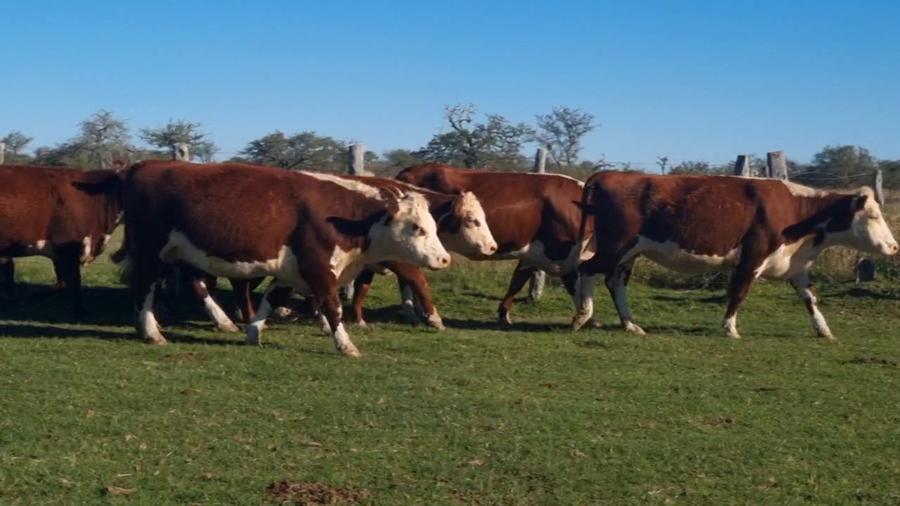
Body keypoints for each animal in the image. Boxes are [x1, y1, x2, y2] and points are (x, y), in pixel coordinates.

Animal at [0, 165, 123, 316]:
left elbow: (63, 282)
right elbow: (74, 281)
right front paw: (81, 311)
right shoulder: (67, 246)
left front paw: (35, 295)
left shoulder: (59, 252)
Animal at [110, 160, 453, 356]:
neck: (345, 217)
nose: (445, 259)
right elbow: (332, 306)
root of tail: (143, 165)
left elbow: (270, 299)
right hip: (151, 252)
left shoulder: (293, 271)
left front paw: (253, 333)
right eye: (417, 227)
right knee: (145, 289)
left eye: (432, 225)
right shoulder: (318, 268)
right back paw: (152, 332)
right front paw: (346, 345)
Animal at [350, 163, 597, 329]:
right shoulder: (562, 255)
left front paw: (503, 315)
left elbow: (517, 282)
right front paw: (584, 317)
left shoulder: (532, 254)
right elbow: (575, 287)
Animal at [570, 171, 899, 339]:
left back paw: (630, 324)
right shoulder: (753, 256)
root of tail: (609, 173)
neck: (799, 214)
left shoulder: (795, 265)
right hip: (616, 246)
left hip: (629, 253)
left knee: (615, 284)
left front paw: (823, 329)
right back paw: (582, 316)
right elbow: (739, 292)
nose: (895, 246)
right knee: (586, 270)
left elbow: (810, 298)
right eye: (873, 216)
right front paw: (729, 328)